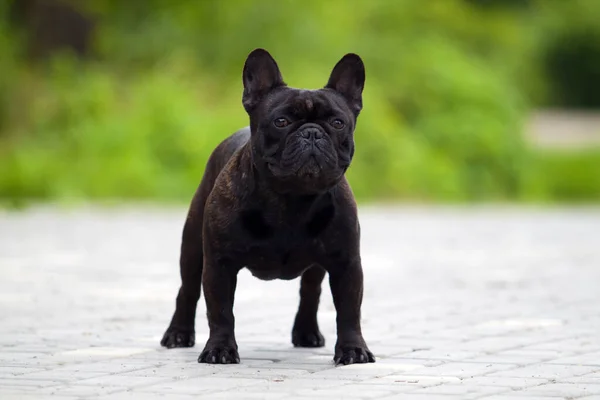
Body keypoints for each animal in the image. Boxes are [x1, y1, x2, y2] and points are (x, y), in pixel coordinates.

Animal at [159, 47, 376, 366]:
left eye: (338, 123)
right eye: (281, 122)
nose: (312, 132)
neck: (292, 198)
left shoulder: (346, 264)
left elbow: (349, 311)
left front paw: (353, 350)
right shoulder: (219, 264)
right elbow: (220, 311)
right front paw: (220, 349)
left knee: (310, 292)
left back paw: (306, 333)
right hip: (192, 248)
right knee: (187, 289)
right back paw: (178, 334)